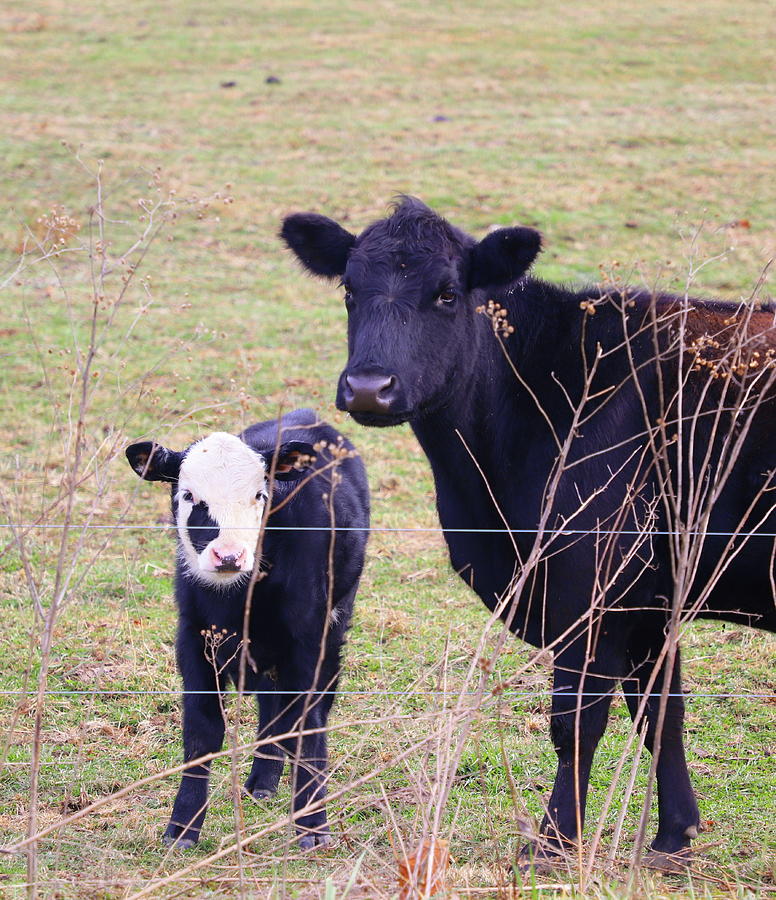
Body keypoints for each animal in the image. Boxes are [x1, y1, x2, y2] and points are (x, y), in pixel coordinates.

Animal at [126, 412, 368, 848]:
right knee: (272, 704)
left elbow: (309, 722)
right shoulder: (193, 640)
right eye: (188, 495)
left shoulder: (309, 639)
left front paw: (313, 825)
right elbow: (203, 729)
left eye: (260, 495)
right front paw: (183, 827)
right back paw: (263, 781)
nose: (228, 555)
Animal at [280, 199, 776, 872]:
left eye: (447, 293)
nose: (368, 388)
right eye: (350, 292)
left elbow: (577, 722)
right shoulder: (651, 602)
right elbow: (660, 713)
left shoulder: (589, 590)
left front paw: (552, 843)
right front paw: (674, 837)